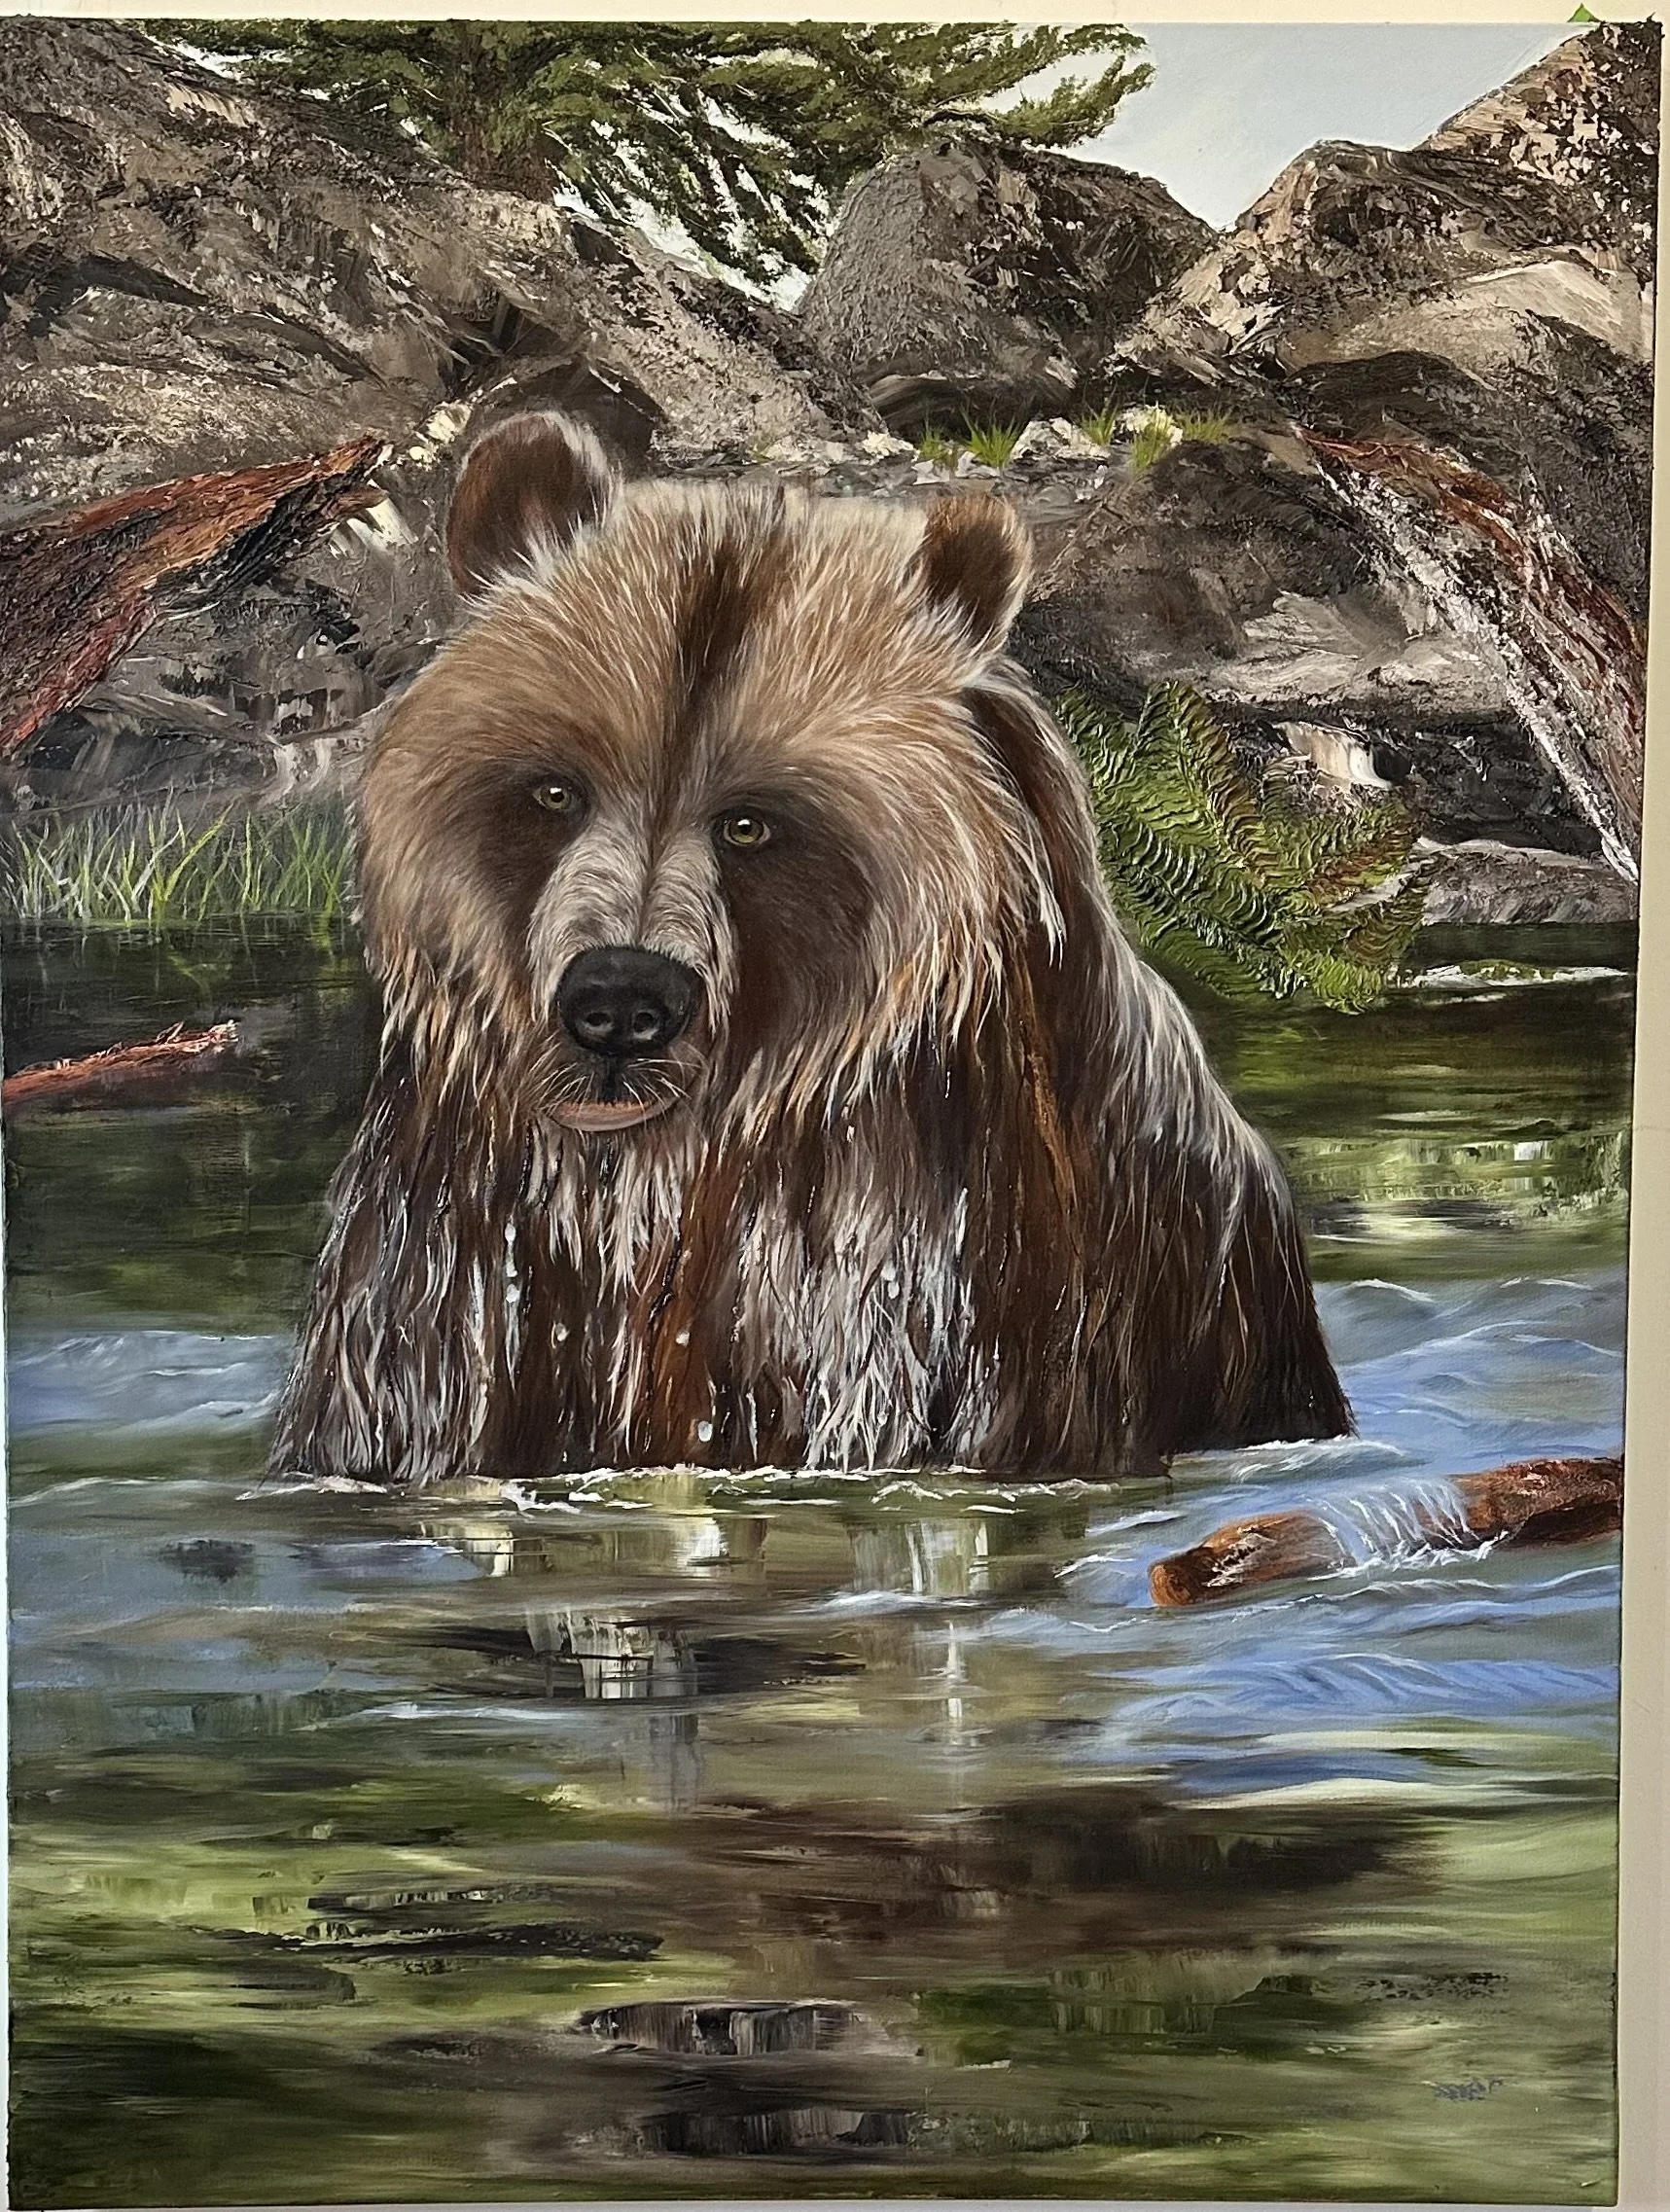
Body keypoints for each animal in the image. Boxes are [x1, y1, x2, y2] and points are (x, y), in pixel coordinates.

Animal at [271, 411, 1351, 1487]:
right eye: (553, 790)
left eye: (751, 824)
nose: (619, 1004)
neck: (669, 1172)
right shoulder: (451, 1277)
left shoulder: (931, 1284)